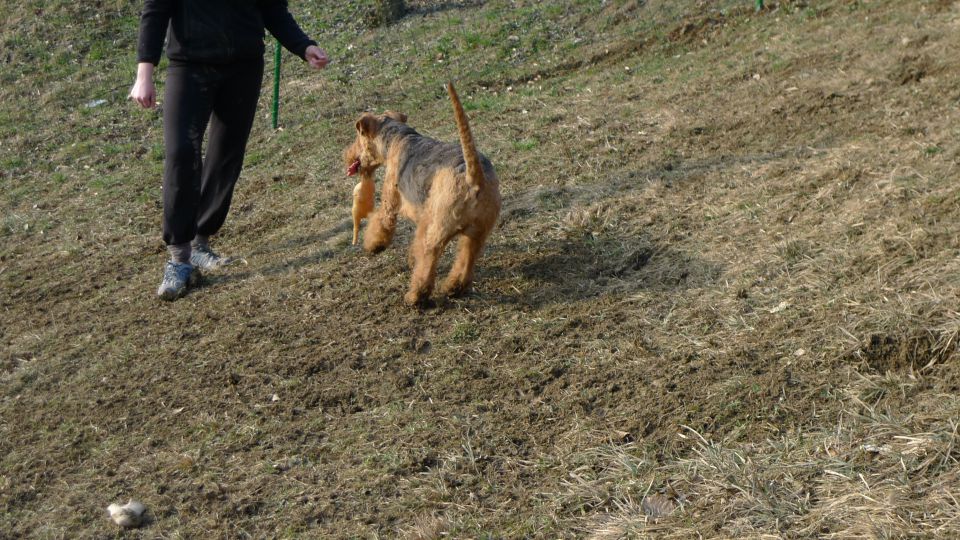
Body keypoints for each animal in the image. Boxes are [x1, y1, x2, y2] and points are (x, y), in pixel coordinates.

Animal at [344, 83, 502, 306]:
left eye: (359, 137)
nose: (348, 156)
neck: (397, 138)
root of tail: (474, 177)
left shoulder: (391, 203)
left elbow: (381, 222)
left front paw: (373, 245)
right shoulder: (426, 216)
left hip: (440, 230)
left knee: (429, 258)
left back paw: (415, 296)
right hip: (477, 233)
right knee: (466, 259)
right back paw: (453, 288)